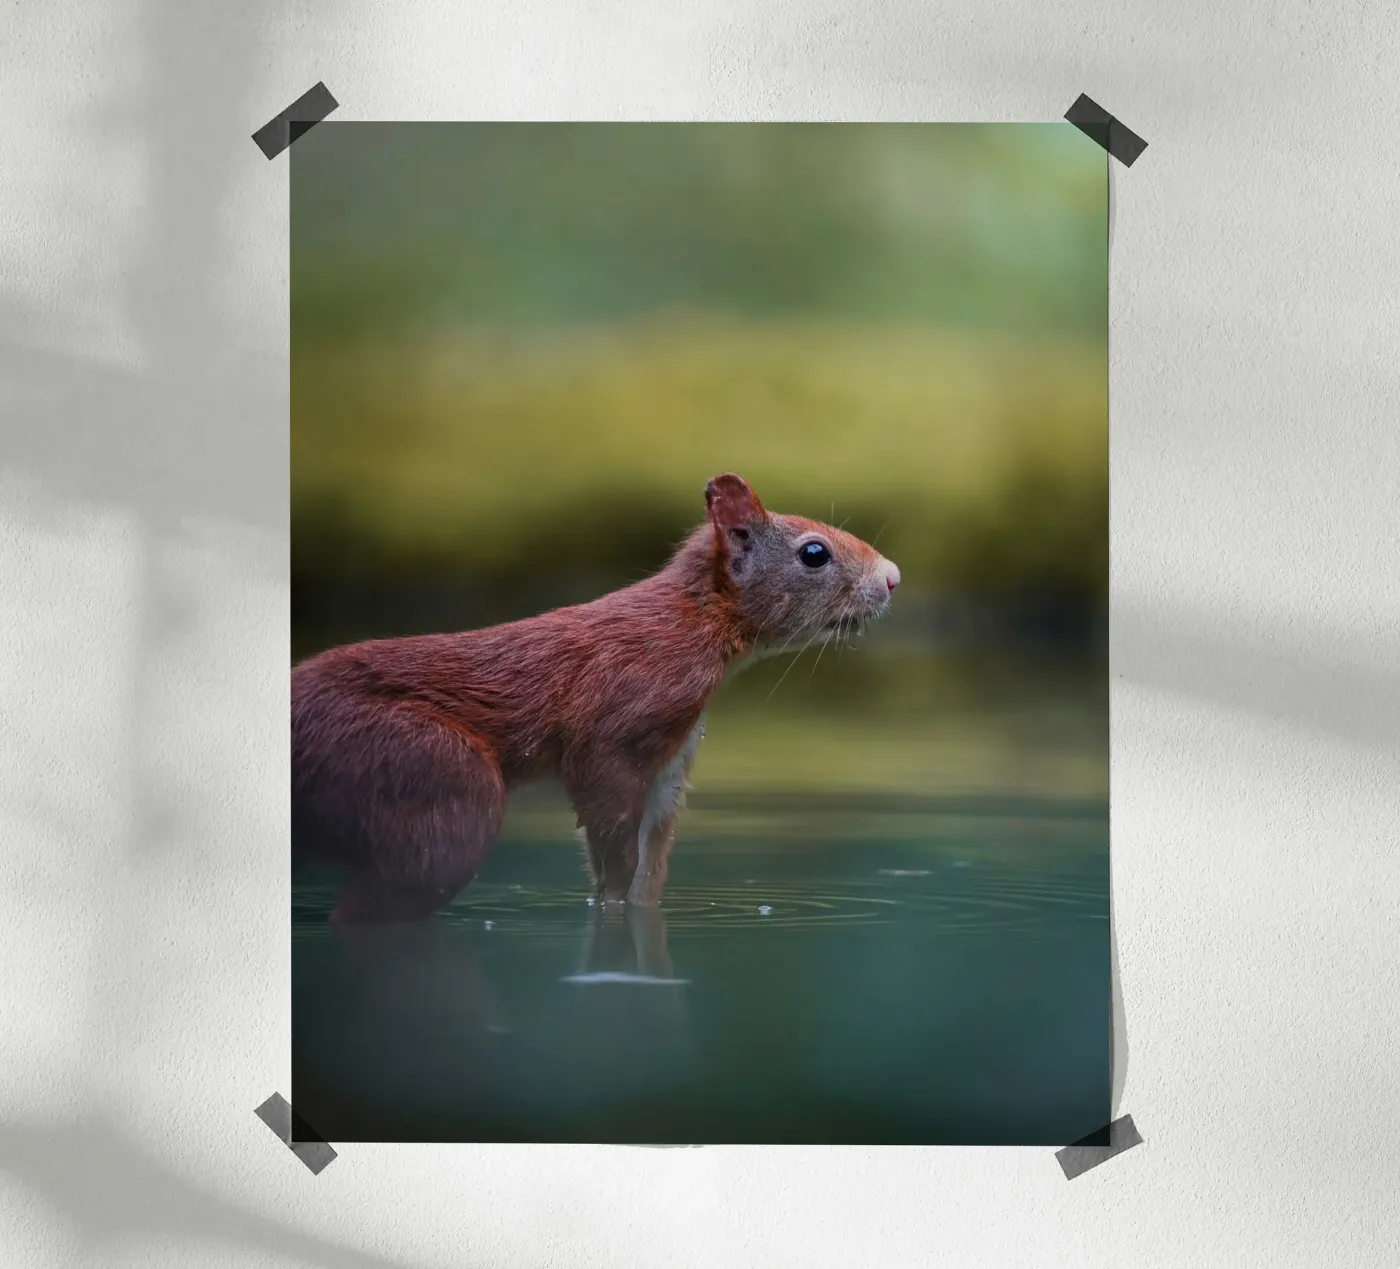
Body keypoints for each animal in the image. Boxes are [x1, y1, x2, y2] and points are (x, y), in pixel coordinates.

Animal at [291, 473, 900, 923]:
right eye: (814, 553)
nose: (893, 577)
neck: (694, 623)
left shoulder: (672, 761)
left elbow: (649, 867)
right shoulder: (619, 723)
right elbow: (611, 835)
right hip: (426, 774)